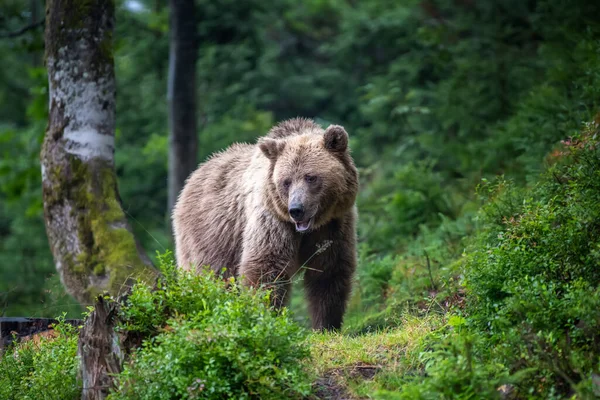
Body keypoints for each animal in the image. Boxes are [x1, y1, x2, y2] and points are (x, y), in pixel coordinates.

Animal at [173, 119, 358, 332]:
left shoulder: (333, 225)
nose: (296, 209)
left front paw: (326, 325)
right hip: (211, 235)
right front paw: (267, 317)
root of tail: (192, 177)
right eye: (286, 181)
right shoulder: (272, 219)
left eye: (311, 177)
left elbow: (328, 271)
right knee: (211, 277)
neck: (308, 228)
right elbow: (265, 268)